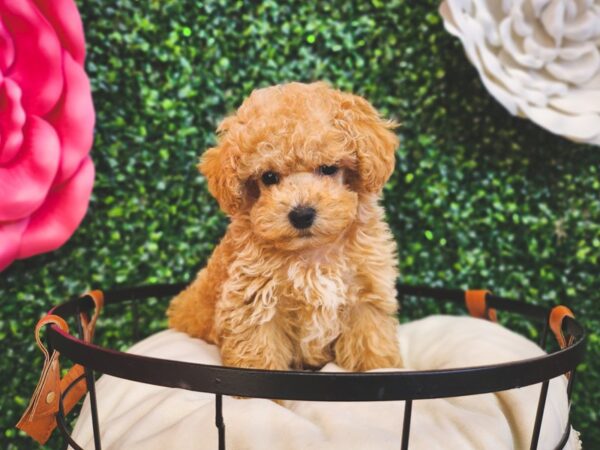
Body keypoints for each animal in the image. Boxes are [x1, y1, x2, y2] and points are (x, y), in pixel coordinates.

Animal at [168, 81, 404, 372]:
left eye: (328, 168)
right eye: (269, 177)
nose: (301, 214)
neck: (312, 253)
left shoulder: (365, 296)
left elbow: (370, 346)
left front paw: (381, 367)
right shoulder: (254, 303)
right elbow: (259, 355)